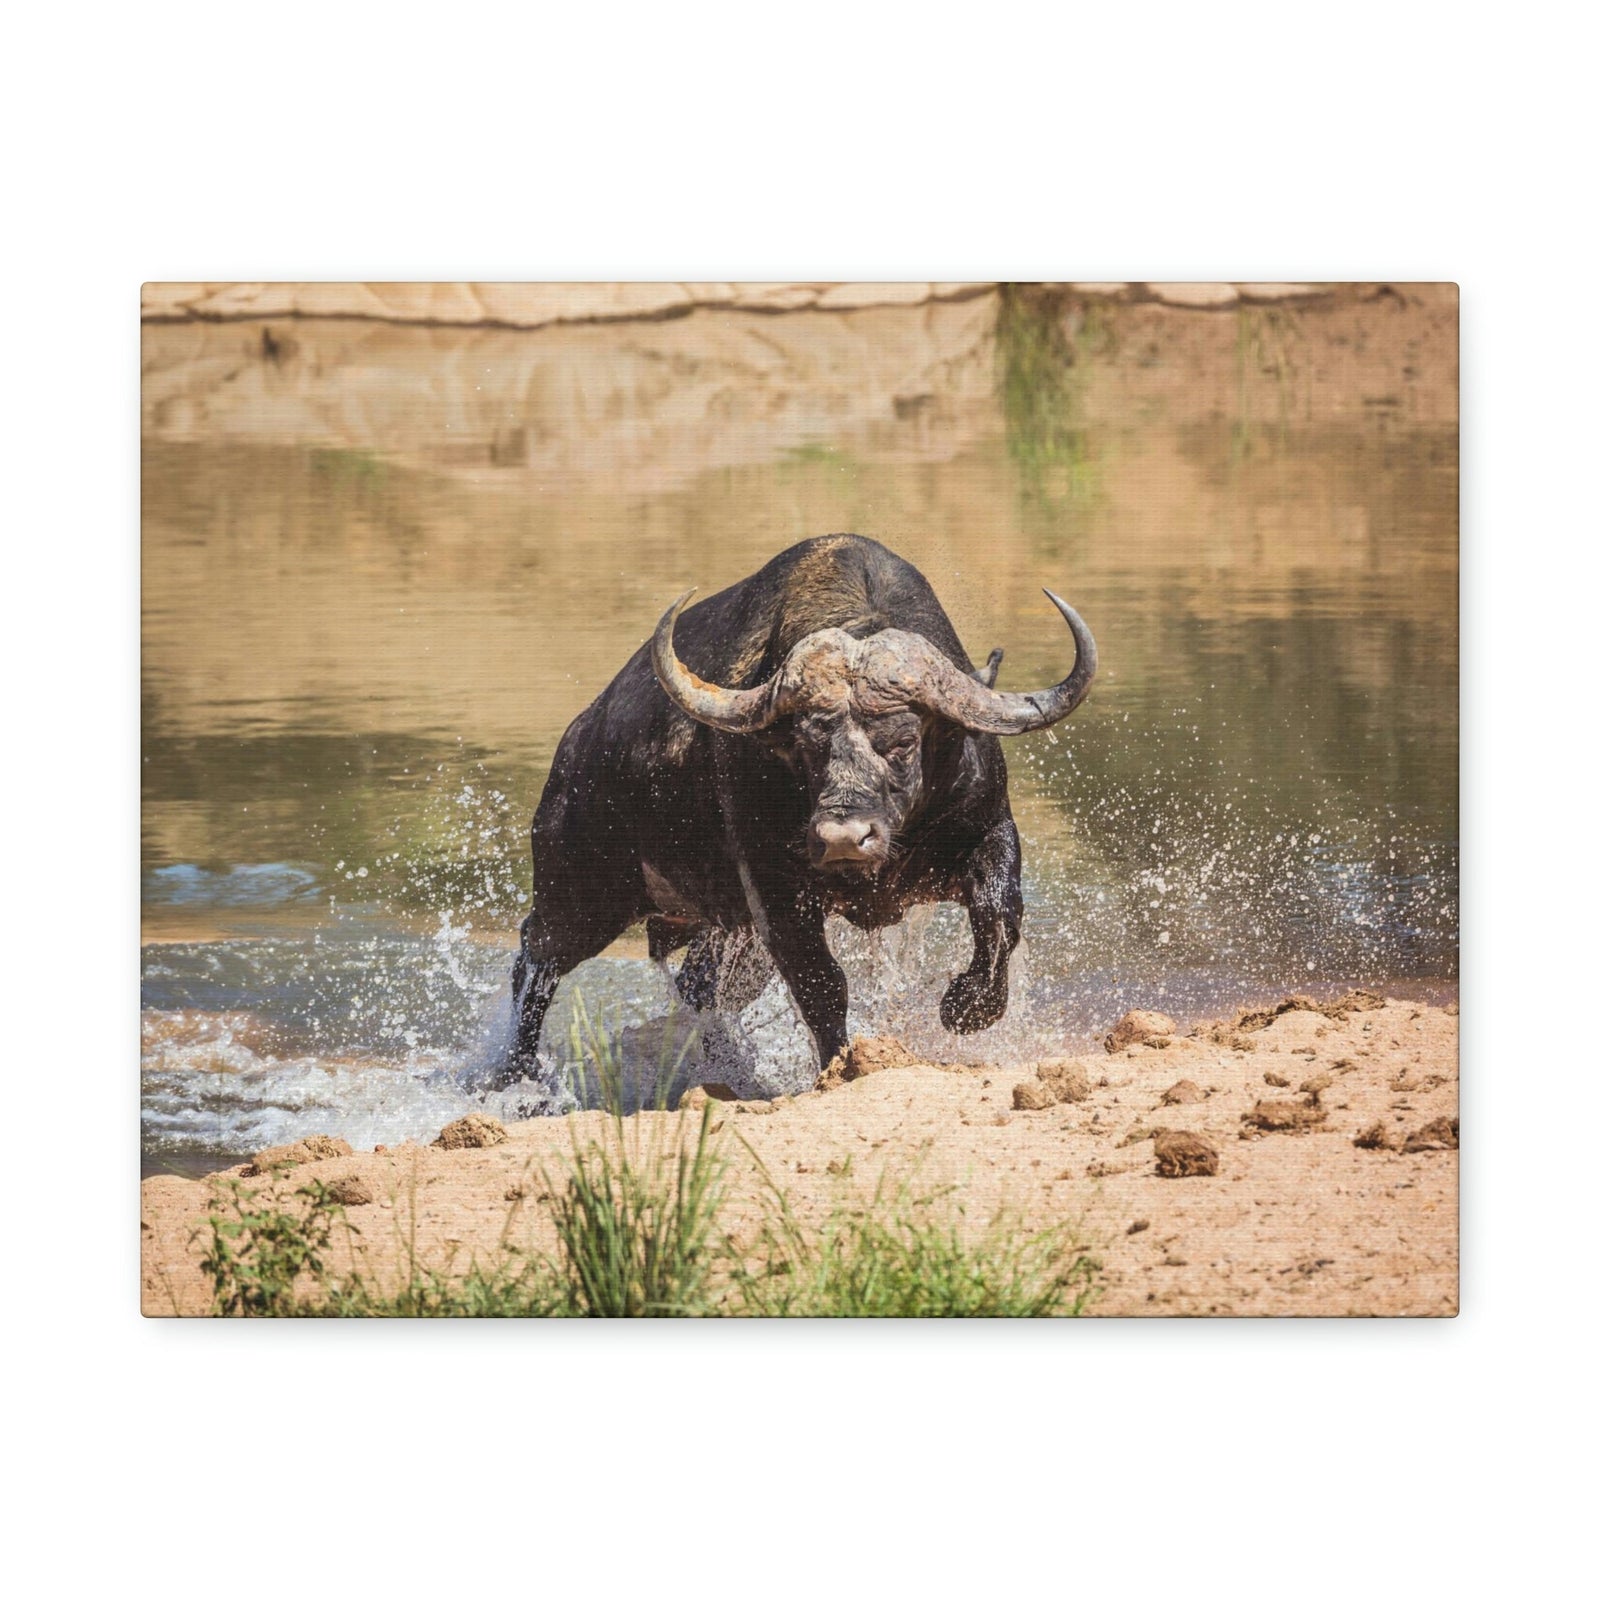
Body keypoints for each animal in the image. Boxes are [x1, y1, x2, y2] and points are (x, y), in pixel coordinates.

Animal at [495, 534, 1096, 1088]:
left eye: (903, 742)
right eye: (806, 747)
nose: (843, 838)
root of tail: (577, 742)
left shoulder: (987, 830)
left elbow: (999, 916)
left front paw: (967, 1008)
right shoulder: (774, 889)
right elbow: (821, 983)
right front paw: (841, 1066)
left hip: (722, 931)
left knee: (700, 988)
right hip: (580, 895)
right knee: (535, 962)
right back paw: (516, 1078)